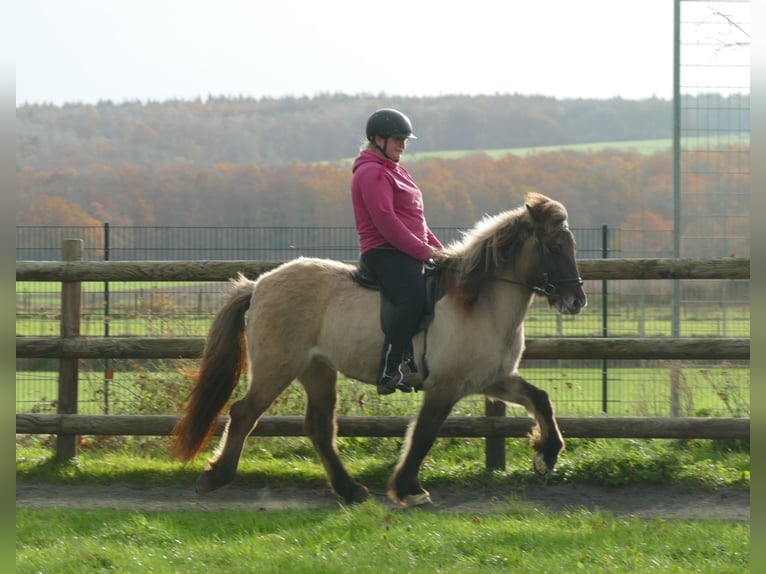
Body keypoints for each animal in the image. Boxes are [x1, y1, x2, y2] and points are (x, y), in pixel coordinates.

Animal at [172, 194, 588, 508]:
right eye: (555, 246)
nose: (577, 300)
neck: (480, 301)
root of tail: (259, 285)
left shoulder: (492, 379)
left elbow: (541, 399)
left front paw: (546, 455)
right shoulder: (446, 385)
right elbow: (424, 434)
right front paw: (409, 489)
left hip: (317, 369)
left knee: (319, 427)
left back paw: (351, 491)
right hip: (278, 367)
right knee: (244, 413)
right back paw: (215, 477)